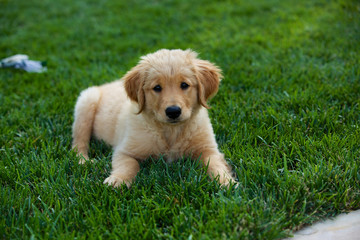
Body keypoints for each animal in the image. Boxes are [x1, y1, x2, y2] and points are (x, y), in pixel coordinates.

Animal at [72, 48, 236, 188]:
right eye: (157, 88)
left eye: (184, 85)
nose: (173, 111)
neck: (170, 131)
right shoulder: (124, 150)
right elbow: (129, 165)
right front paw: (118, 180)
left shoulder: (208, 149)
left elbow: (215, 164)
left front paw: (226, 181)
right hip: (86, 101)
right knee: (78, 142)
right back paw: (84, 161)